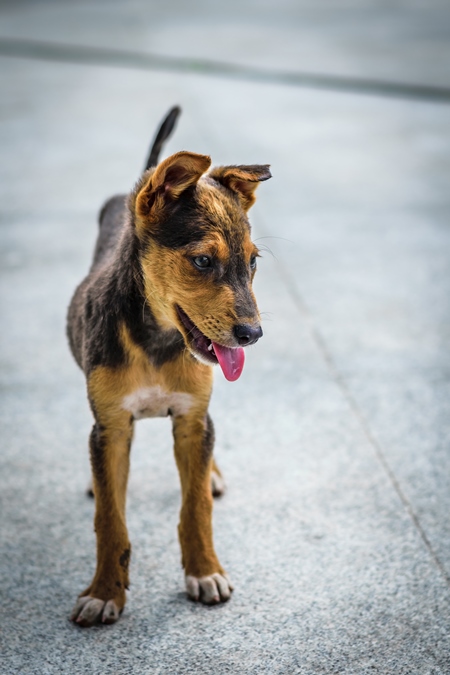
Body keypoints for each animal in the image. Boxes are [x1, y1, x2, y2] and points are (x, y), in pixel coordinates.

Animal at [67, 107, 270, 628]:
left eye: (253, 263)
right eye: (201, 261)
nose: (253, 335)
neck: (157, 340)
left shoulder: (192, 418)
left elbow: (195, 506)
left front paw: (205, 571)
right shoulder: (112, 426)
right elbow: (110, 520)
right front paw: (105, 592)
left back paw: (212, 474)